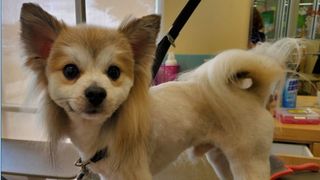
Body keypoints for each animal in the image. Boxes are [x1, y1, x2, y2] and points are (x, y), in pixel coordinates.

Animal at [20, 2, 298, 180]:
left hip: (249, 161)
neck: (101, 132)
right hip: (221, 159)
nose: (96, 93)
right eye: (70, 71)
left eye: (114, 72)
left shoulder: (136, 174)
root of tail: (254, 95)